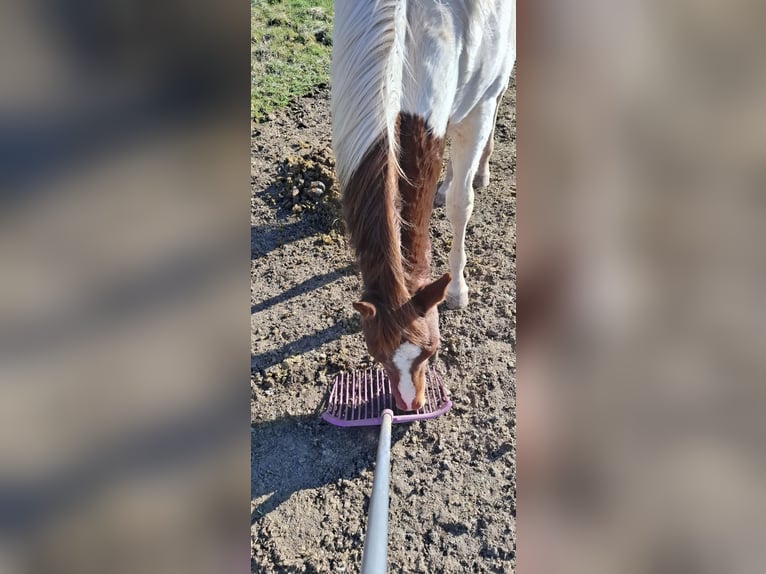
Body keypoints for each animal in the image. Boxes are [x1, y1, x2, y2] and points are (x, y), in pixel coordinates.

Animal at [331, 0, 516, 411]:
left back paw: (481, 168)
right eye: (377, 354)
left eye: (431, 350)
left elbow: (462, 205)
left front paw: (457, 289)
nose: (409, 406)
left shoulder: (476, 108)